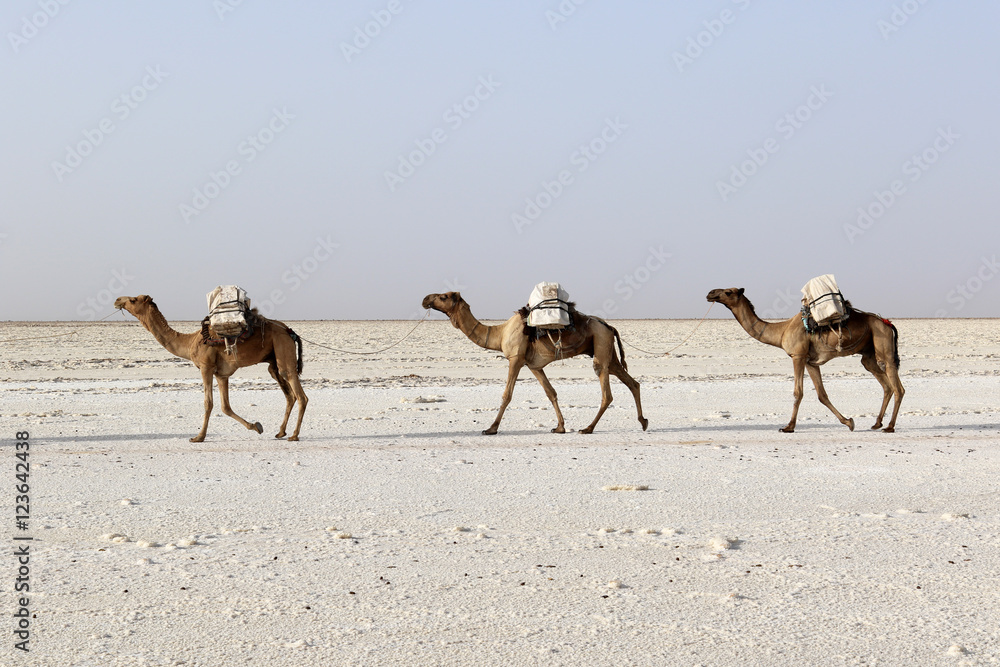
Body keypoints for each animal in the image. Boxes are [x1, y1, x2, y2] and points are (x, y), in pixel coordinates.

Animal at [114, 296, 308, 444]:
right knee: (289, 395)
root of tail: (289, 331)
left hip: (282, 349)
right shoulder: (221, 374)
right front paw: (256, 426)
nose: (117, 300)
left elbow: (208, 403)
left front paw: (198, 437)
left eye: (133, 300)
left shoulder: (206, 367)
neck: (190, 341)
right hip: (273, 362)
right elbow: (225, 407)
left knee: (300, 395)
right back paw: (281, 432)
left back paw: (294, 435)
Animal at [422, 290, 648, 436]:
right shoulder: (534, 366)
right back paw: (643, 422)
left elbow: (507, 395)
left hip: (601, 345)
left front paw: (491, 428)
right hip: (608, 351)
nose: (425, 299)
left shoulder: (515, 359)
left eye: (443, 296)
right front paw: (560, 427)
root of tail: (609, 326)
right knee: (632, 382)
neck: (499, 334)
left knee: (607, 392)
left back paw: (588, 428)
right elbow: (551, 393)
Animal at [704, 288, 908, 434]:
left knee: (898, 387)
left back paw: (890, 427)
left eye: (728, 292)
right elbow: (822, 395)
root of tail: (888, 323)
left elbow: (798, 392)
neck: (781, 330)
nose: (710, 293)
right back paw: (877, 423)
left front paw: (788, 427)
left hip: (883, 345)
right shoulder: (811, 362)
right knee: (887, 386)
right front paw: (849, 422)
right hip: (869, 355)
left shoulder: (798, 356)